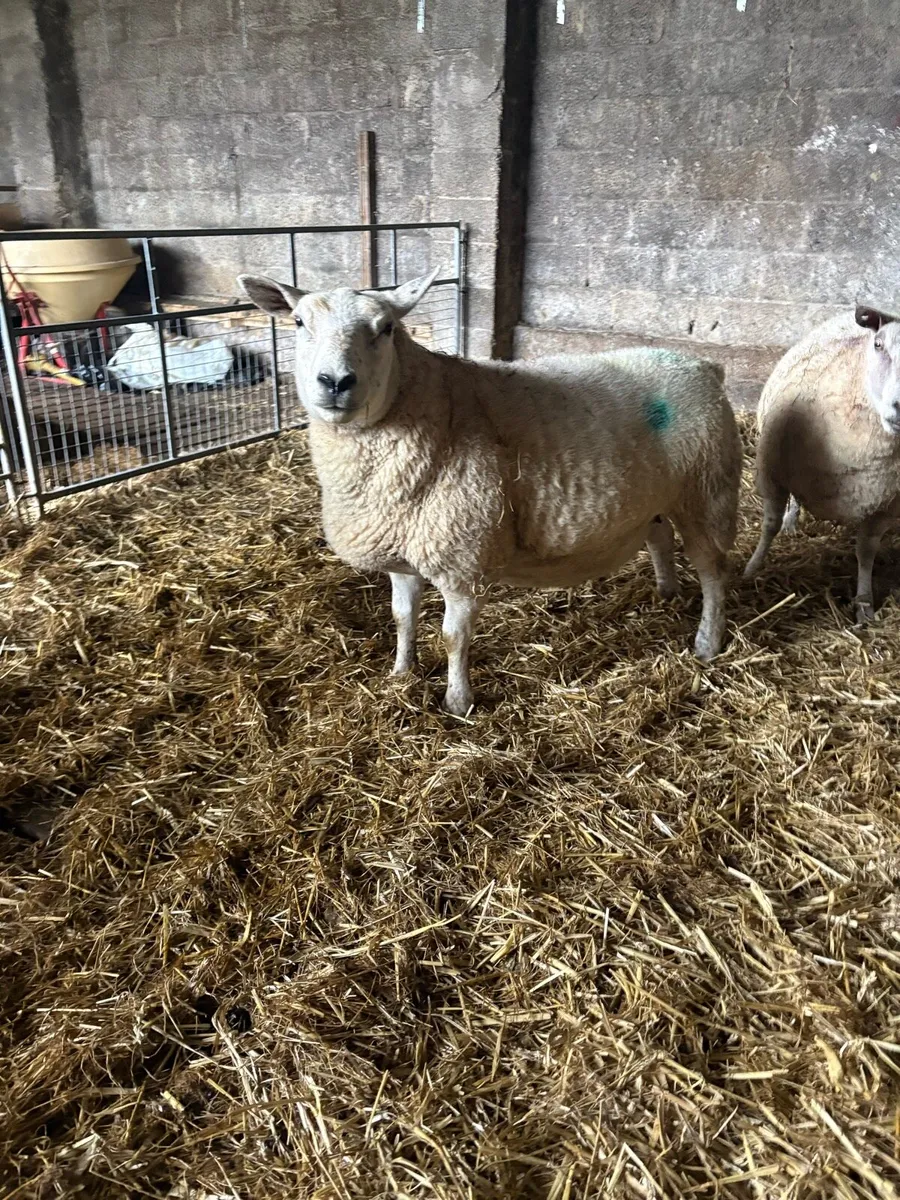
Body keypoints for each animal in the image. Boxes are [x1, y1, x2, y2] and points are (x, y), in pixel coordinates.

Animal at [238, 269, 742, 715]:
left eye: (386, 328)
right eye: (298, 322)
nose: (335, 382)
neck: (430, 410)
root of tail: (705, 366)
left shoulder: (463, 560)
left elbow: (453, 637)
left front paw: (457, 703)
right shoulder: (402, 551)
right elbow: (402, 617)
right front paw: (401, 673)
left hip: (708, 491)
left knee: (714, 572)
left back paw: (707, 642)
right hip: (659, 497)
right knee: (659, 536)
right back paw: (666, 591)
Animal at [745, 304, 900, 623]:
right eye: (879, 344)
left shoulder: (885, 505)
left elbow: (866, 552)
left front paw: (864, 604)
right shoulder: (772, 472)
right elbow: (769, 525)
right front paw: (751, 569)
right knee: (790, 505)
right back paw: (791, 522)